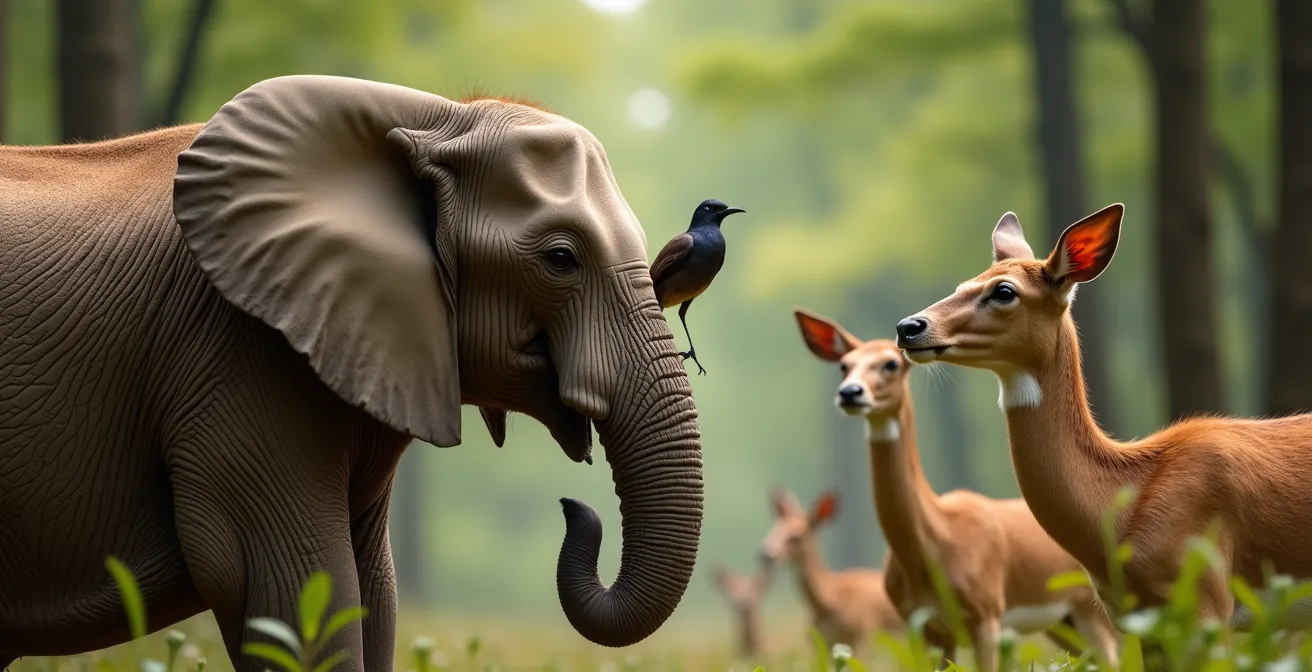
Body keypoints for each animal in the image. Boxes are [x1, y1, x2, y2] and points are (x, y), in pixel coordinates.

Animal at [0, 75, 704, 670]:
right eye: (561, 259)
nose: (573, 508)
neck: (431, 116)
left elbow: (373, 596)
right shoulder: (240, 355)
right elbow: (299, 591)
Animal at [793, 310, 1120, 670]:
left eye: (891, 364)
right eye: (844, 365)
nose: (850, 392)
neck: (936, 538)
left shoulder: (987, 612)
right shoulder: (924, 626)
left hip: (1091, 610)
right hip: (1063, 623)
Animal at [894, 202, 1312, 633]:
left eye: (1004, 291)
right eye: (963, 284)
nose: (908, 327)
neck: (1121, 502)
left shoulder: (1203, 597)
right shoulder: (1133, 615)